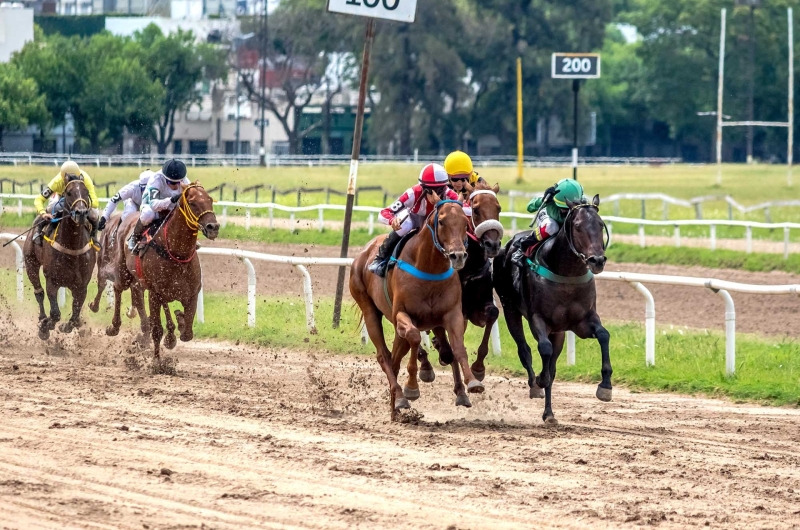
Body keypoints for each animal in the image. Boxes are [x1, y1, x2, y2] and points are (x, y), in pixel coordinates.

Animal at [23, 177, 97, 338]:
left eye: (86, 192)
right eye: (69, 193)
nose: (81, 213)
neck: (71, 247)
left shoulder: (82, 286)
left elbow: (75, 316)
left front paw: (67, 326)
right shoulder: (52, 281)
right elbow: (55, 313)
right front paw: (45, 326)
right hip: (30, 261)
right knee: (39, 292)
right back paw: (42, 318)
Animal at [119, 183, 219, 358]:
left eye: (210, 199)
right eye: (192, 202)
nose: (213, 227)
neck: (177, 253)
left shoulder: (192, 293)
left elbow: (187, 333)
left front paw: (180, 320)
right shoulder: (155, 293)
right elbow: (158, 329)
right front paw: (158, 359)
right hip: (128, 276)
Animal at [348, 199, 482, 416]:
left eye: (465, 222)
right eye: (442, 222)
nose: (459, 256)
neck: (430, 268)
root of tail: (363, 253)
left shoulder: (451, 313)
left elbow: (457, 347)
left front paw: (472, 382)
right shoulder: (403, 314)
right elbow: (414, 337)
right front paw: (411, 387)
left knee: (395, 358)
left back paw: (395, 406)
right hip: (368, 308)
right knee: (384, 356)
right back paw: (400, 398)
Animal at [418, 182, 506, 404]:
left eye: (498, 208)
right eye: (475, 210)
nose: (493, 245)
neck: (468, 268)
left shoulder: (475, 307)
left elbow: (492, 314)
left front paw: (479, 368)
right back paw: (427, 366)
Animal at [490, 193, 608, 420]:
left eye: (600, 224)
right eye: (578, 226)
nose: (597, 260)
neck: (567, 275)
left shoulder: (582, 321)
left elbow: (603, 335)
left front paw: (605, 386)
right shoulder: (538, 318)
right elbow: (544, 350)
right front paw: (539, 380)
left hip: (559, 331)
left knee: (552, 362)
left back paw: (549, 413)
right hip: (510, 308)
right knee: (524, 349)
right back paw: (535, 386)